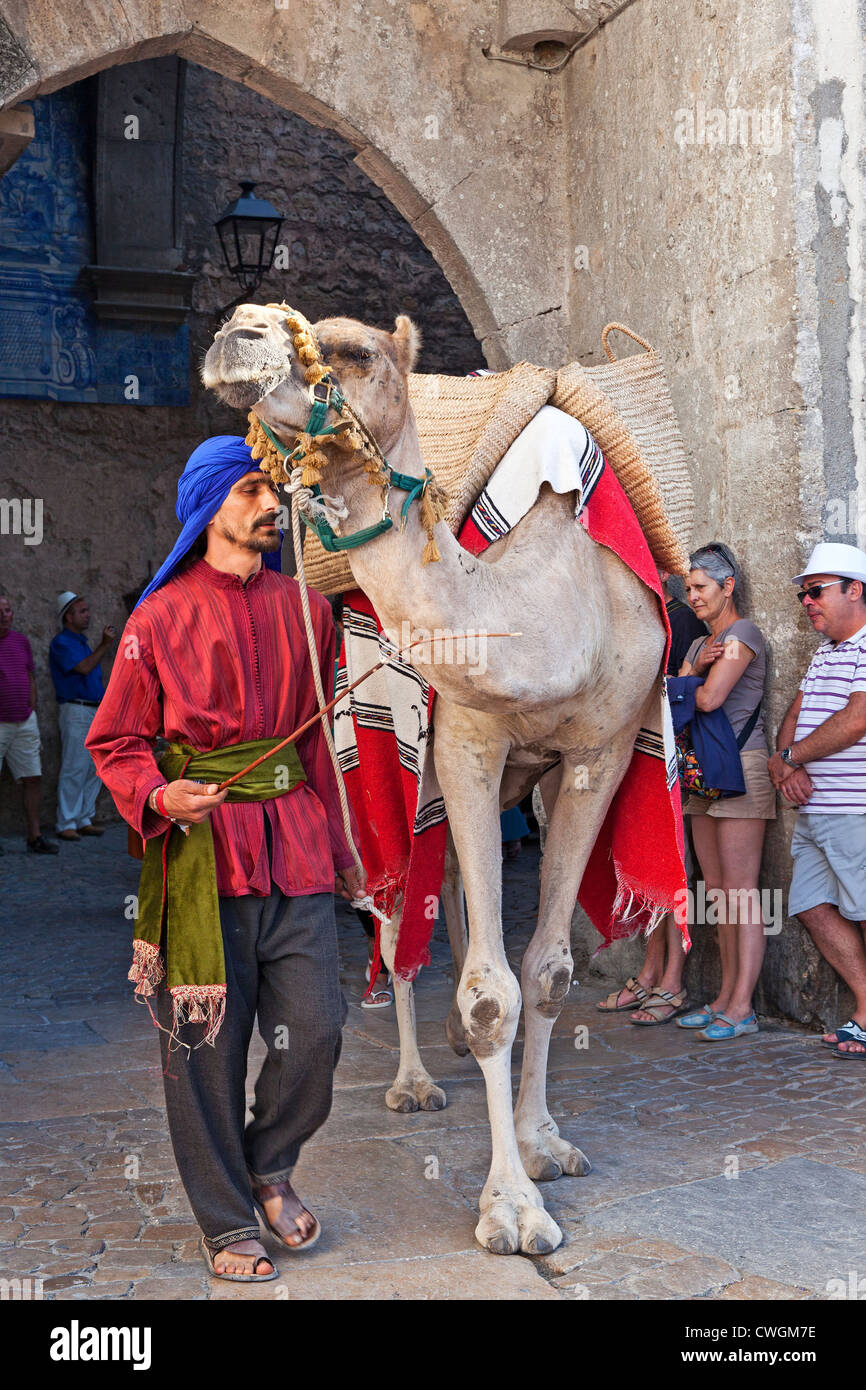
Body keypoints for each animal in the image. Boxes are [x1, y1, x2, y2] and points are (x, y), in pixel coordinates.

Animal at [201, 307, 664, 1262]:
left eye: (353, 350)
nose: (237, 331)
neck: (556, 607)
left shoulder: (595, 753)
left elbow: (549, 973)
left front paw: (543, 1143)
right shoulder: (467, 742)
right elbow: (494, 992)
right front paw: (513, 1210)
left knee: (444, 884)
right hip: (381, 757)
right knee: (390, 912)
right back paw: (414, 1078)